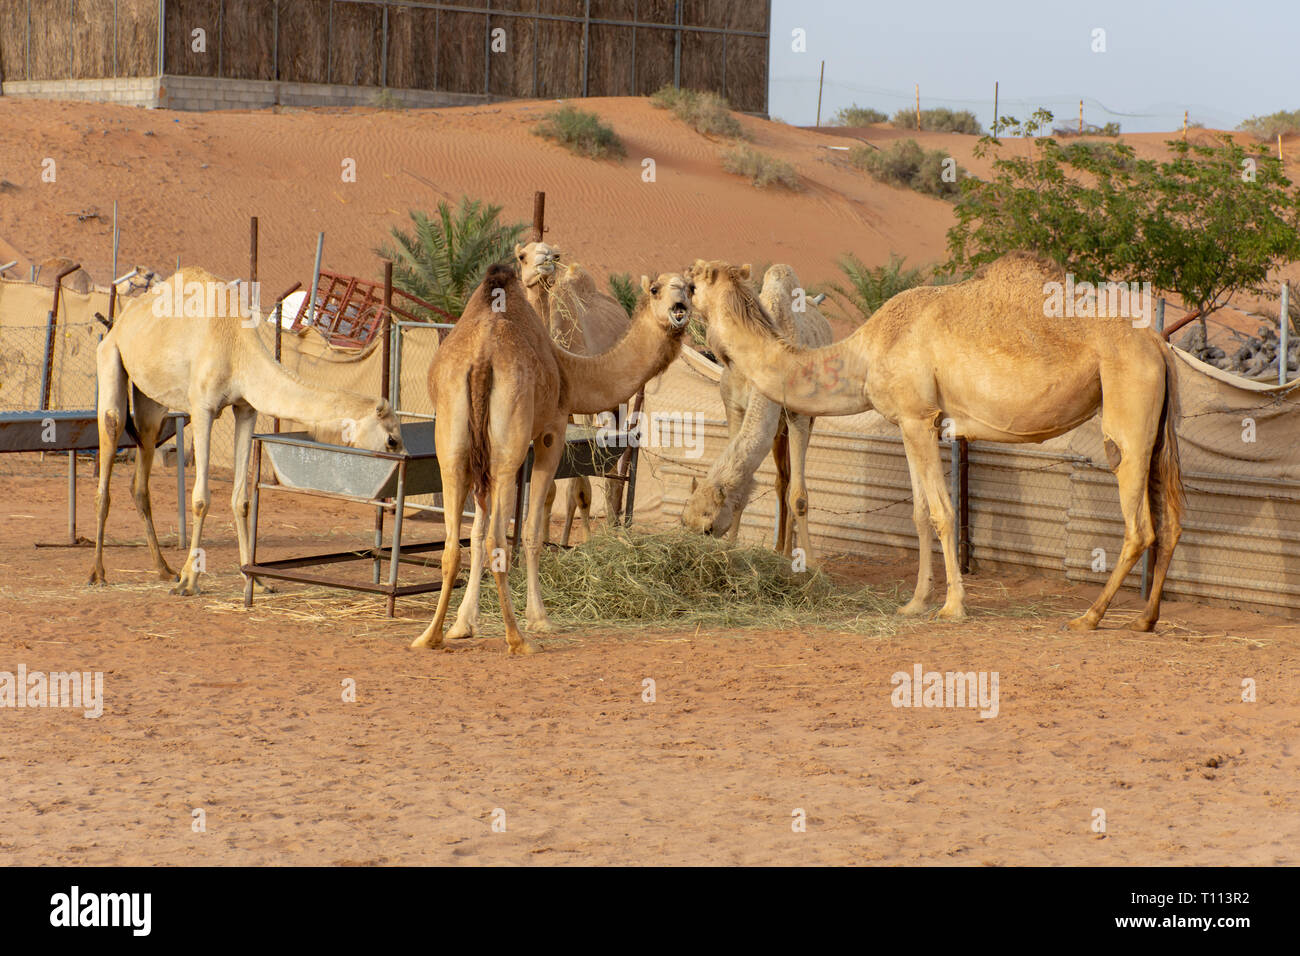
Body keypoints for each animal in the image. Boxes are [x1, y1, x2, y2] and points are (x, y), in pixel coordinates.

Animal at [89, 269, 403, 595]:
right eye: (392, 439)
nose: (399, 484)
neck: (237, 347)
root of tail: (118, 323)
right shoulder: (202, 408)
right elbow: (200, 498)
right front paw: (190, 581)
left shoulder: (246, 408)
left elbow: (241, 499)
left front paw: (257, 581)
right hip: (110, 359)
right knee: (110, 440)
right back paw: (99, 573)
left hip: (152, 401)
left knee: (141, 476)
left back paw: (164, 570)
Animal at [514, 243, 631, 541]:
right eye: (521, 256)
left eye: (555, 256)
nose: (545, 259)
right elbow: (552, 488)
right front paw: (545, 541)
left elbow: (581, 490)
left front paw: (587, 542)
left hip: (621, 399)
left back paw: (611, 527)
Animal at [681, 261, 832, 564]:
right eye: (684, 522)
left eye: (708, 528)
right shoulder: (736, 407)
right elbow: (744, 490)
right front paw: (731, 547)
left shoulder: (798, 416)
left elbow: (800, 497)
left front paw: (811, 566)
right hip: (777, 430)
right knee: (781, 481)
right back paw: (779, 549)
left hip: (806, 419)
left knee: (790, 483)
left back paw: (787, 553)